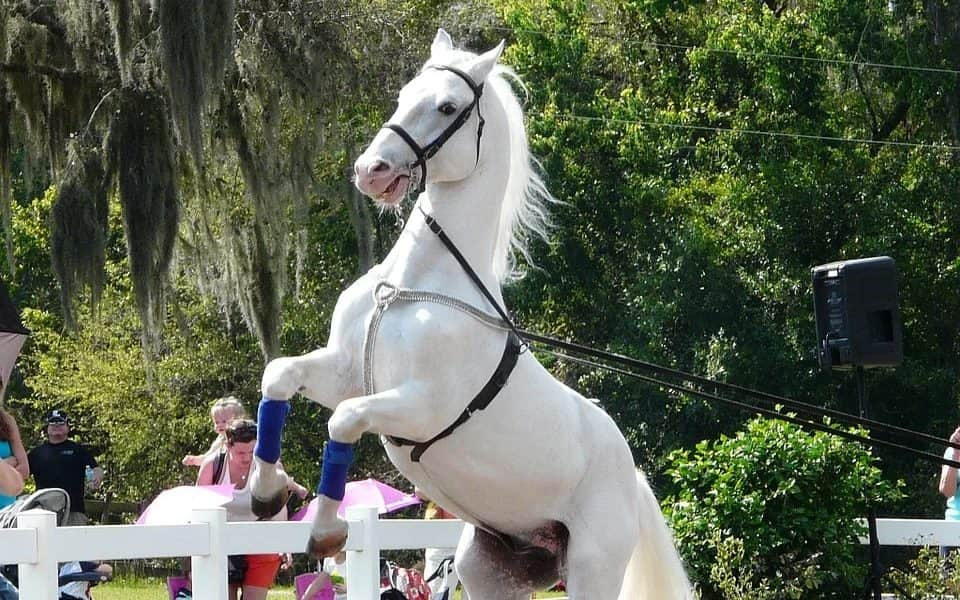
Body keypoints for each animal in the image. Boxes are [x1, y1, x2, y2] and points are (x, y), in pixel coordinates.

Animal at [251, 29, 692, 600]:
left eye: (446, 106)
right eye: (403, 94)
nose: (371, 171)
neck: (410, 287)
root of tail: (631, 476)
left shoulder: (419, 405)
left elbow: (343, 420)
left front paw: (326, 531)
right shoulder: (345, 371)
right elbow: (279, 374)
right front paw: (263, 493)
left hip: (593, 571)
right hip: (487, 571)